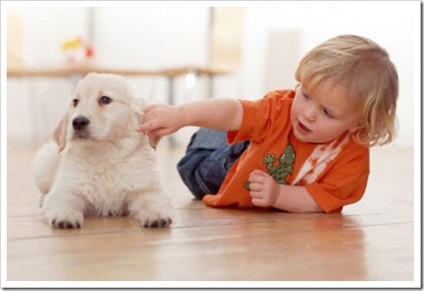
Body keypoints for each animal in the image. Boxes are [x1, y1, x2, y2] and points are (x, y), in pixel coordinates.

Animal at [31, 72, 174, 228]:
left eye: (105, 100)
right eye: (75, 102)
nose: (78, 122)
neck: (105, 156)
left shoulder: (148, 189)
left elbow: (152, 201)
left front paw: (156, 214)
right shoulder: (66, 189)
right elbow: (63, 200)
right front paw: (64, 216)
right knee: (44, 191)